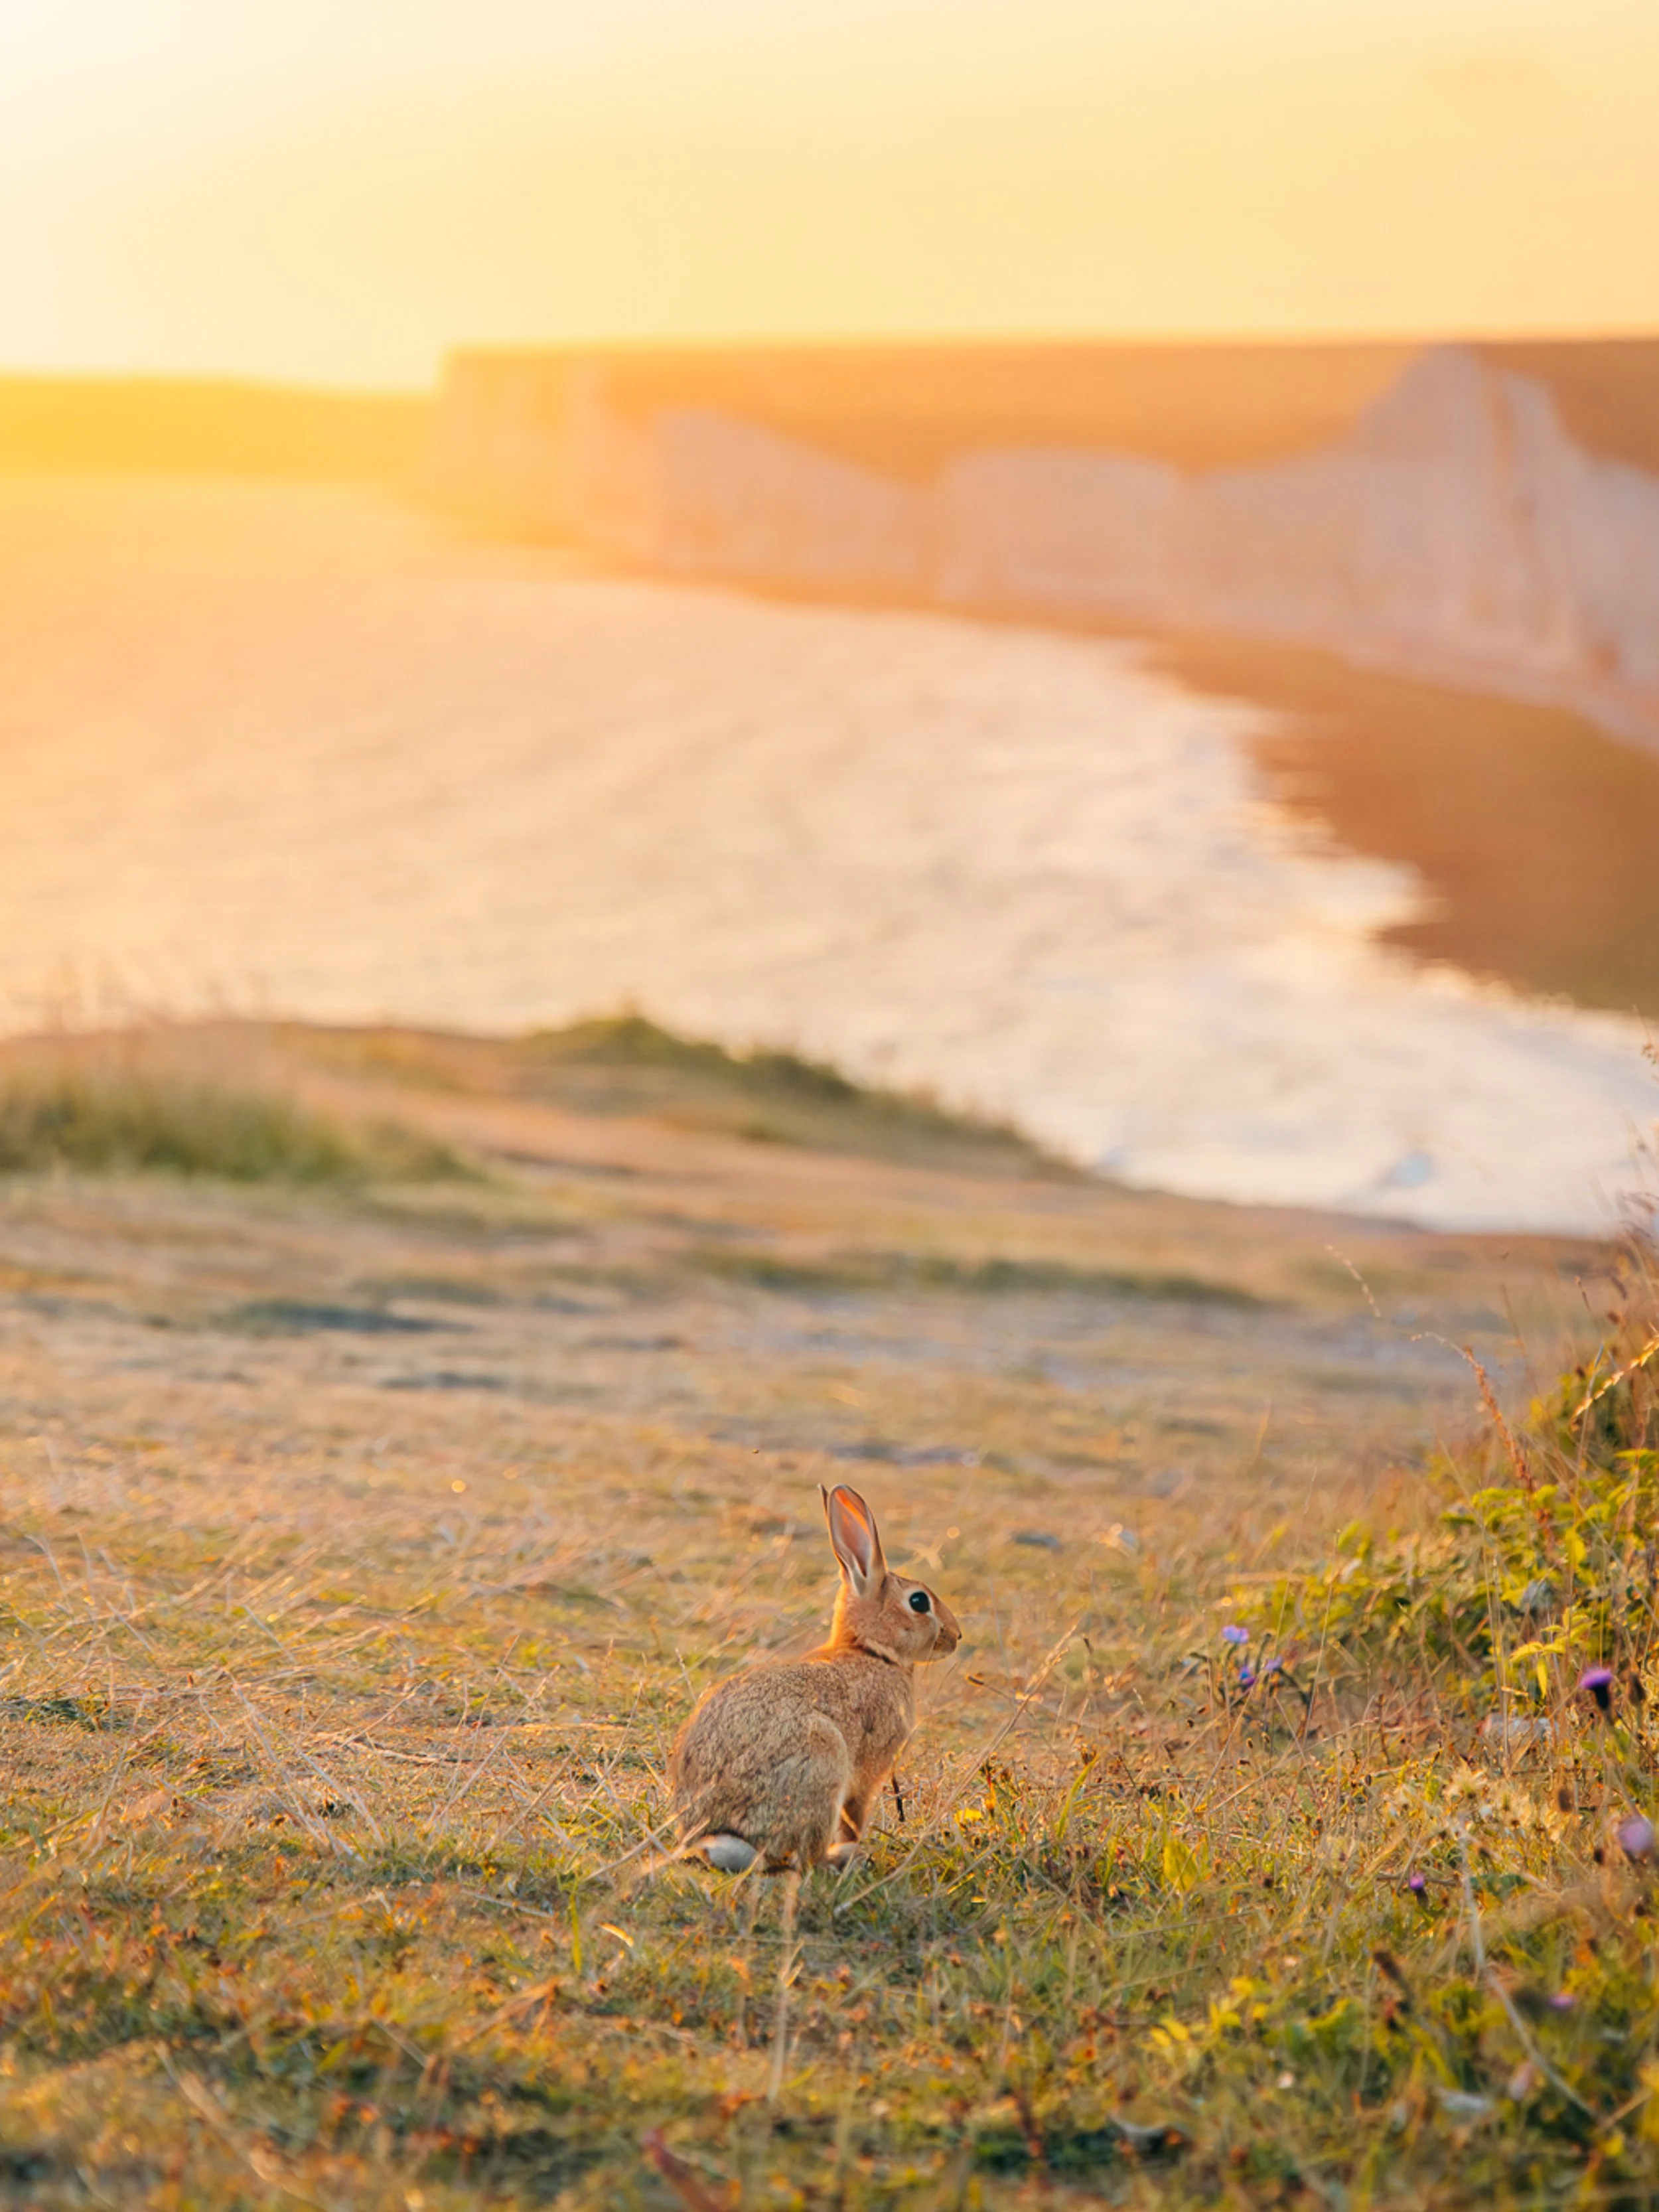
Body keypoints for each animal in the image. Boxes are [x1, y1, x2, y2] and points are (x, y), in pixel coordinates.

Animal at [668, 1483, 961, 1875]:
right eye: (919, 1602)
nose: (956, 1636)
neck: (870, 1650)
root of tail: (716, 1835)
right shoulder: (866, 1773)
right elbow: (854, 1817)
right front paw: (856, 1845)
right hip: (823, 1760)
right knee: (808, 1857)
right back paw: (843, 1858)